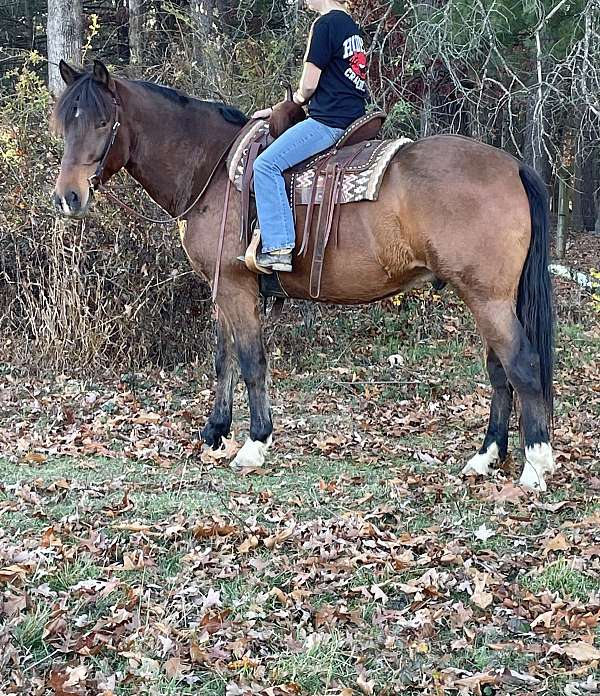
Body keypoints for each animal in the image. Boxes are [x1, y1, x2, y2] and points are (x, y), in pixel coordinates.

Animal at [51, 62, 556, 492]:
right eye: (65, 124)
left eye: (102, 123)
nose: (68, 197)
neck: (212, 168)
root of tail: (513, 165)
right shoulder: (221, 287)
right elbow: (223, 359)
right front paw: (215, 432)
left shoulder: (235, 286)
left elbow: (251, 361)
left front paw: (255, 443)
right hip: (489, 298)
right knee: (499, 371)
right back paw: (487, 457)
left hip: (487, 298)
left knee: (522, 366)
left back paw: (535, 465)